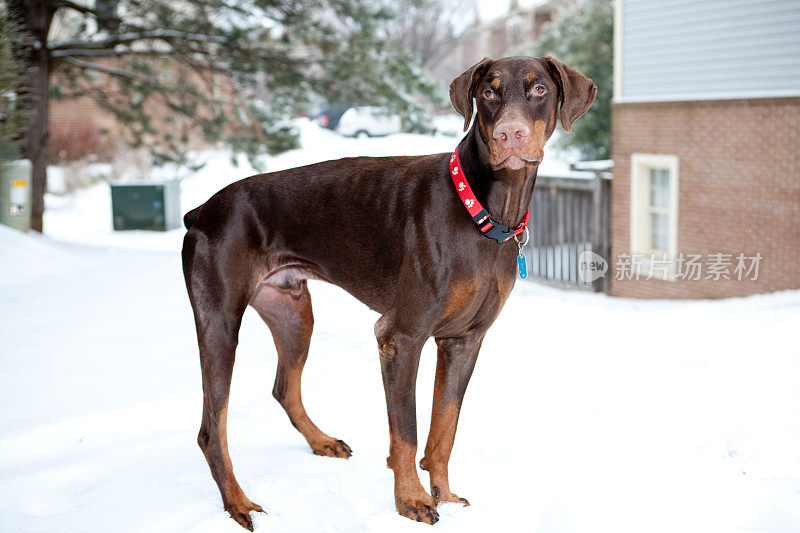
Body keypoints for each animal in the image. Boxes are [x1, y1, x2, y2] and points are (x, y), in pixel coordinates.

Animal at [181, 55, 592, 528]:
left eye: (539, 89)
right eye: (488, 91)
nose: (510, 134)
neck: (484, 211)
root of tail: (200, 212)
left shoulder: (464, 341)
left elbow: (444, 429)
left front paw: (445, 495)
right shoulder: (401, 338)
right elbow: (407, 433)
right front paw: (411, 500)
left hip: (292, 313)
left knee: (284, 387)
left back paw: (320, 441)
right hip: (220, 322)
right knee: (212, 428)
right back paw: (238, 502)